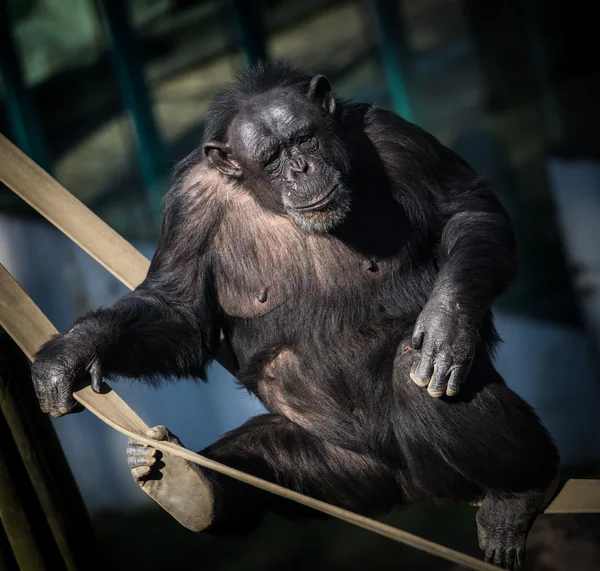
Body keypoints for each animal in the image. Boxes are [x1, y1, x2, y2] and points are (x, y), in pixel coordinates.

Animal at [31, 60, 556, 568]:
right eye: (271, 158)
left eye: (304, 139)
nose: (302, 169)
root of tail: (409, 490)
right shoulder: (188, 207)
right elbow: (180, 311)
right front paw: (72, 353)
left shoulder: (399, 140)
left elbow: (466, 210)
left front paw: (446, 323)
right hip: (341, 473)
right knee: (265, 456)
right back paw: (191, 485)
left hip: (435, 469)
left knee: (417, 373)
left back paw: (522, 492)